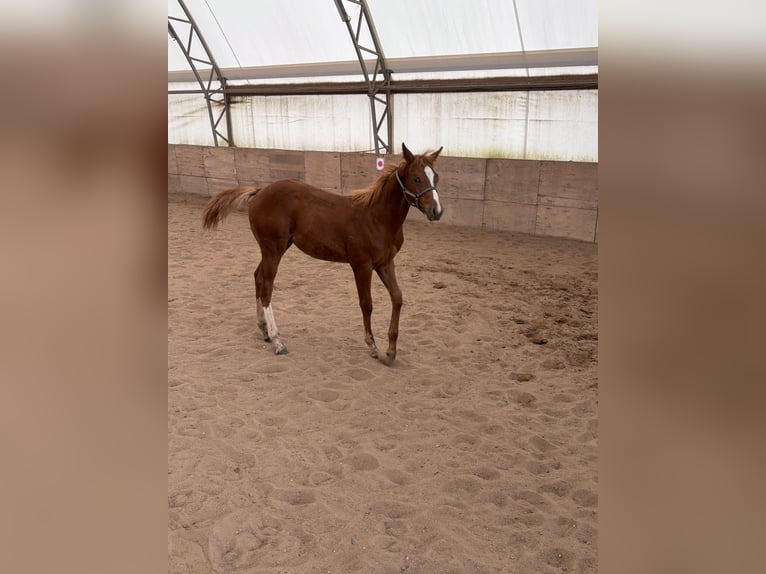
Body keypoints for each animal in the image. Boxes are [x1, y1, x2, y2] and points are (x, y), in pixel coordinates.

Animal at [201, 143, 444, 365]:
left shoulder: (385, 263)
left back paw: (264, 330)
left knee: (258, 278)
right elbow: (367, 303)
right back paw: (278, 341)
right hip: (273, 249)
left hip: (275, 248)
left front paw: (391, 350)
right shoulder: (361, 265)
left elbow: (397, 298)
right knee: (267, 285)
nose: (437, 211)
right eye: (416, 179)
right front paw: (373, 347)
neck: (377, 218)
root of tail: (259, 192)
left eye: (436, 177)